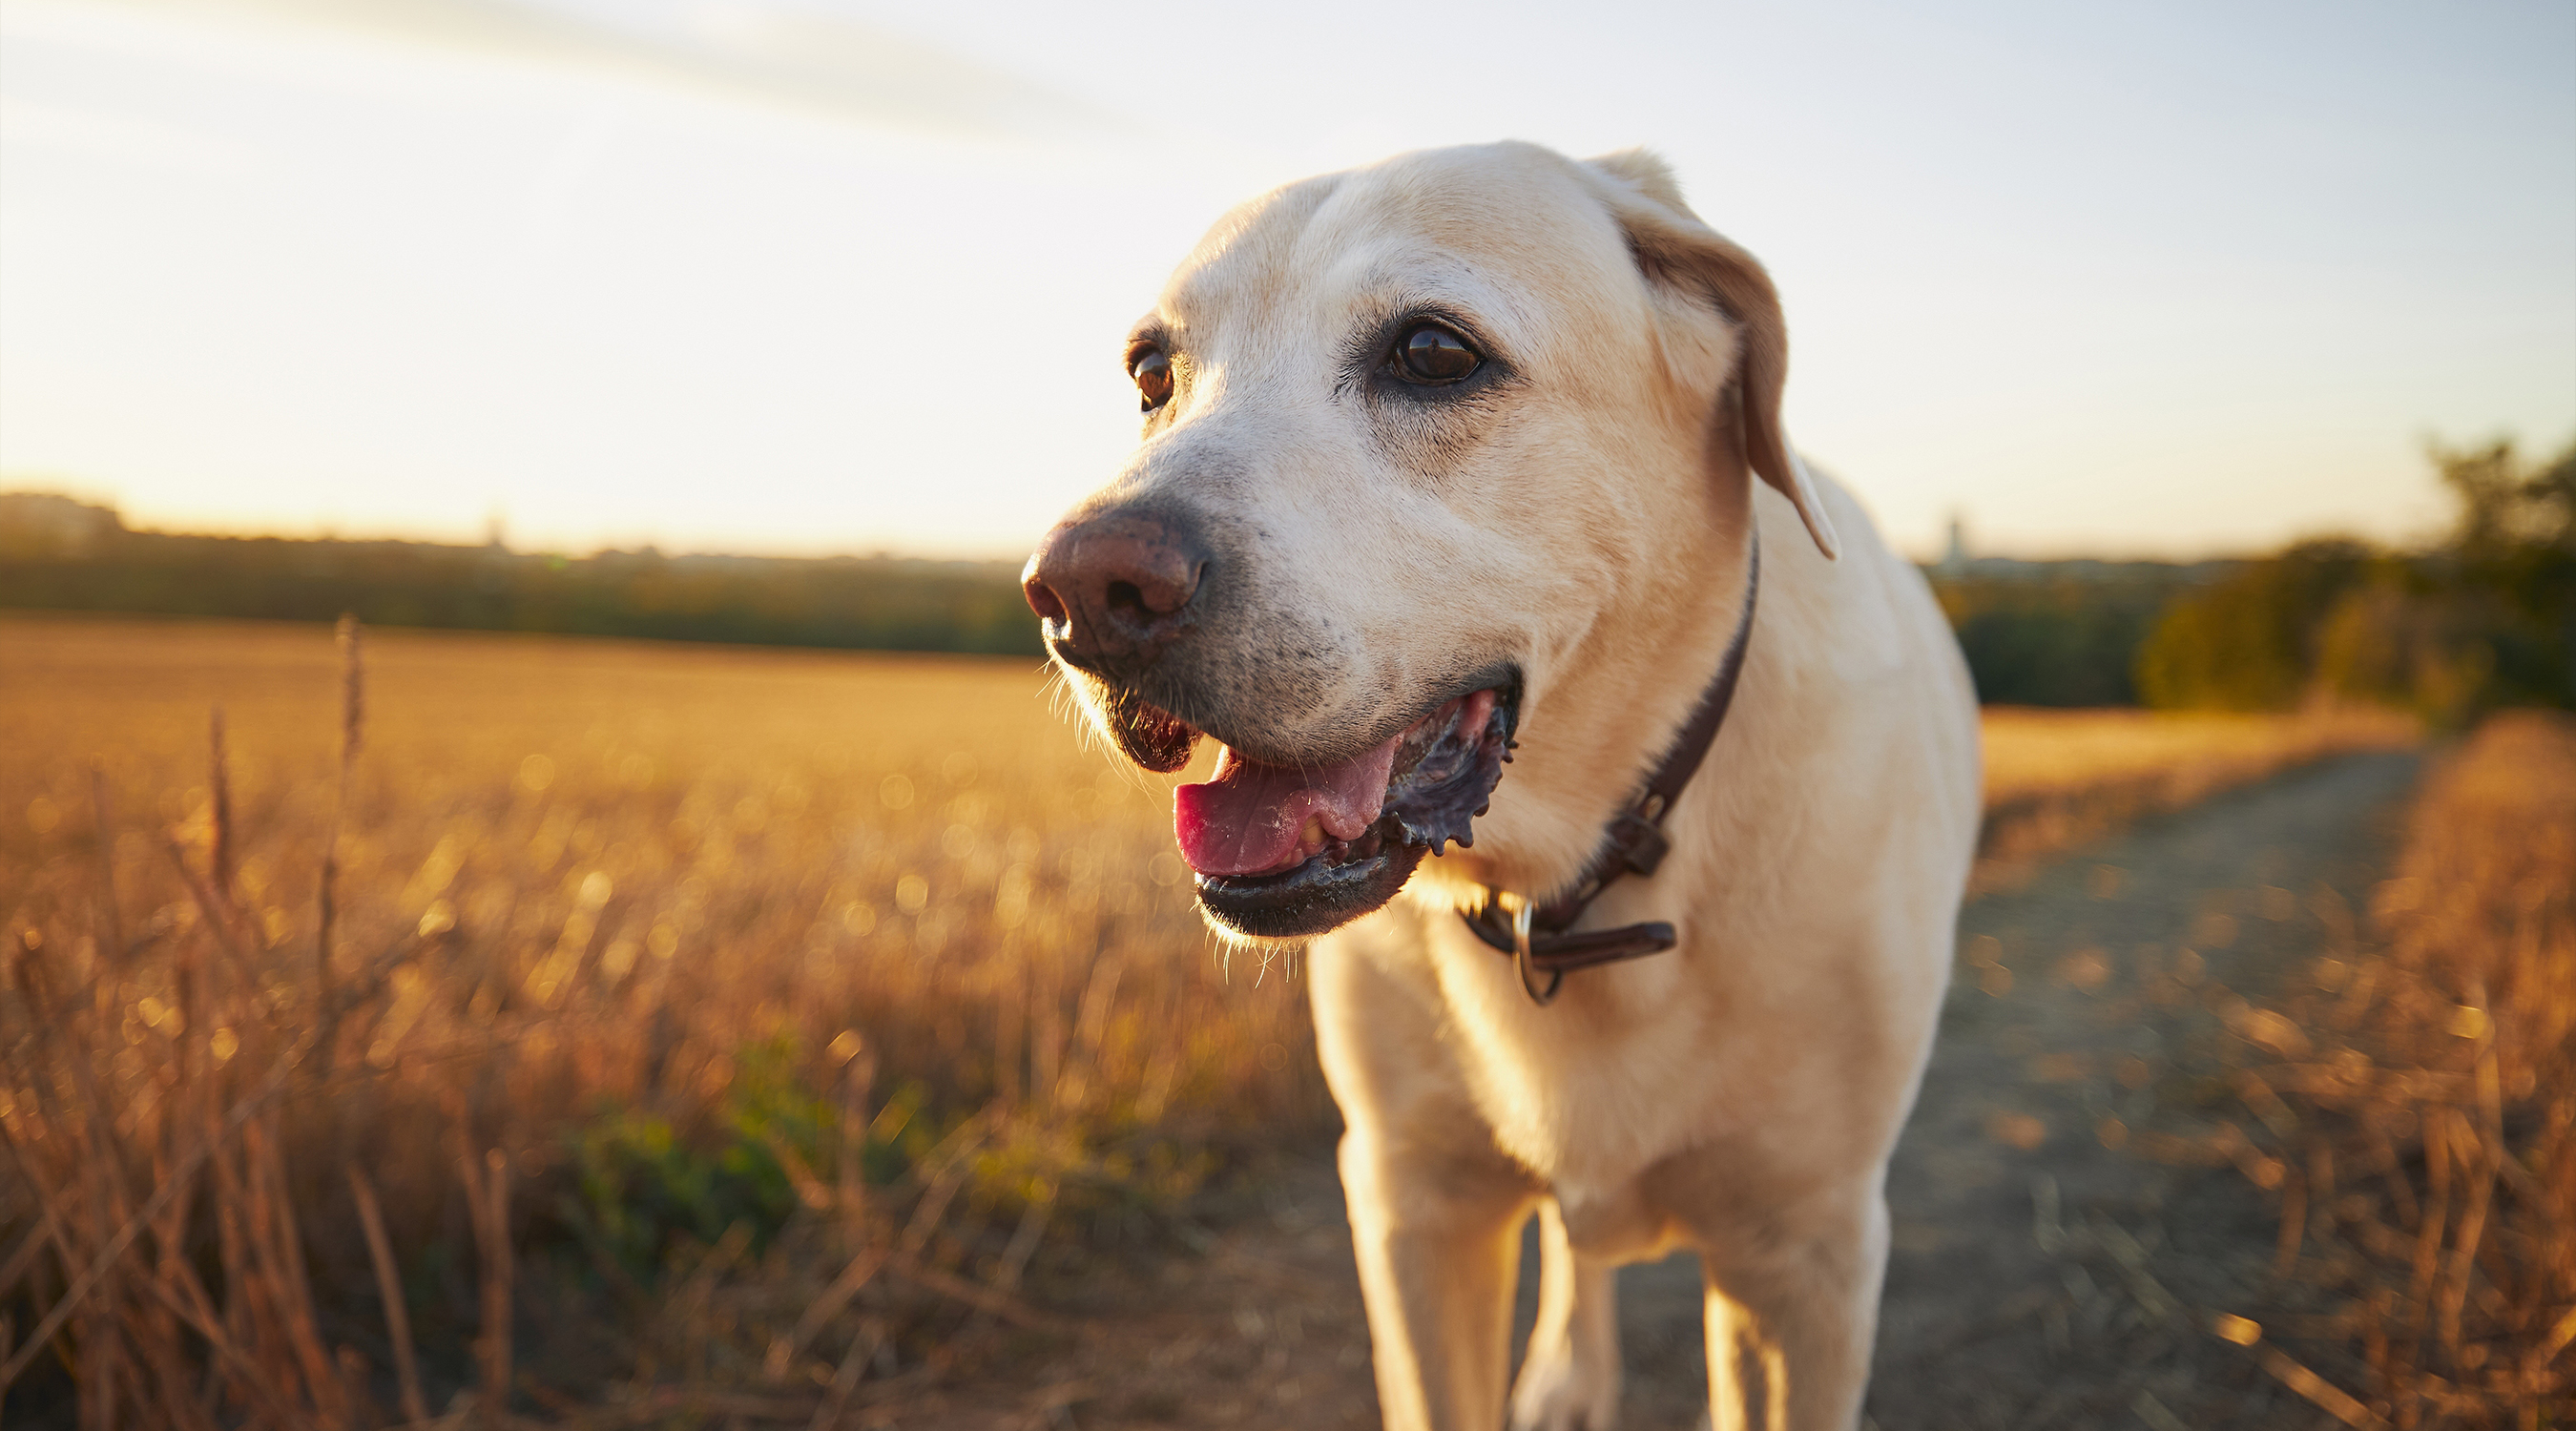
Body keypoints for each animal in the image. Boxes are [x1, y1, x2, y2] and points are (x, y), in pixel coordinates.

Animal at [1020, 142, 1967, 1431]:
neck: (1576, 892)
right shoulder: (1414, 1205)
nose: (1082, 592)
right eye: (1152, 372)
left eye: (1432, 353)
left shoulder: (1804, 1259)